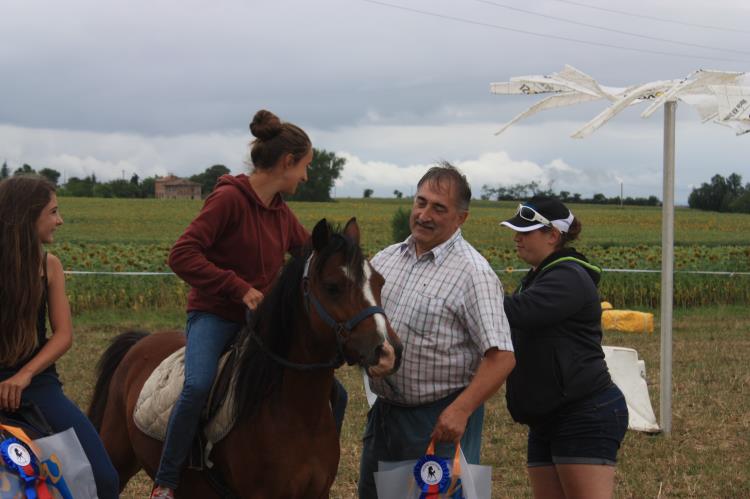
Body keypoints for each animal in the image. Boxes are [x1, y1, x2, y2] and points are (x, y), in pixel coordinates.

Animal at [87, 219, 402, 499]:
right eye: (333, 286)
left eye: (379, 282)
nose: (388, 352)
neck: (295, 412)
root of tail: (139, 342)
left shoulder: (318, 493)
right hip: (116, 459)